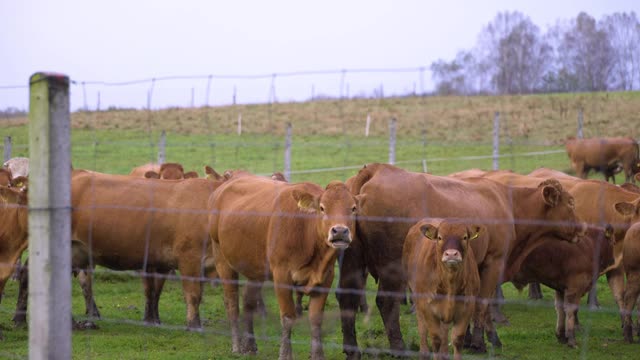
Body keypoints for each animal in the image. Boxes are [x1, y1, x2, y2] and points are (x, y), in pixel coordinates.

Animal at [210, 174, 360, 358]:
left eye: (353, 208)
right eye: (322, 208)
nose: (339, 231)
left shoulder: (326, 277)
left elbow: (316, 319)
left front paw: (318, 355)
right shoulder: (282, 275)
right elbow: (288, 318)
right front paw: (285, 354)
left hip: (255, 269)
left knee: (248, 302)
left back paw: (250, 345)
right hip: (221, 258)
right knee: (231, 302)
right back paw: (237, 345)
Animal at [404, 219, 480, 360]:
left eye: (465, 237)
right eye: (439, 237)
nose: (451, 254)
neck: (450, 284)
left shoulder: (467, 307)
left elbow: (457, 339)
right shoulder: (427, 308)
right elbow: (435, 339)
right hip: (416, 297)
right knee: (422, 327)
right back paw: (424, 353)